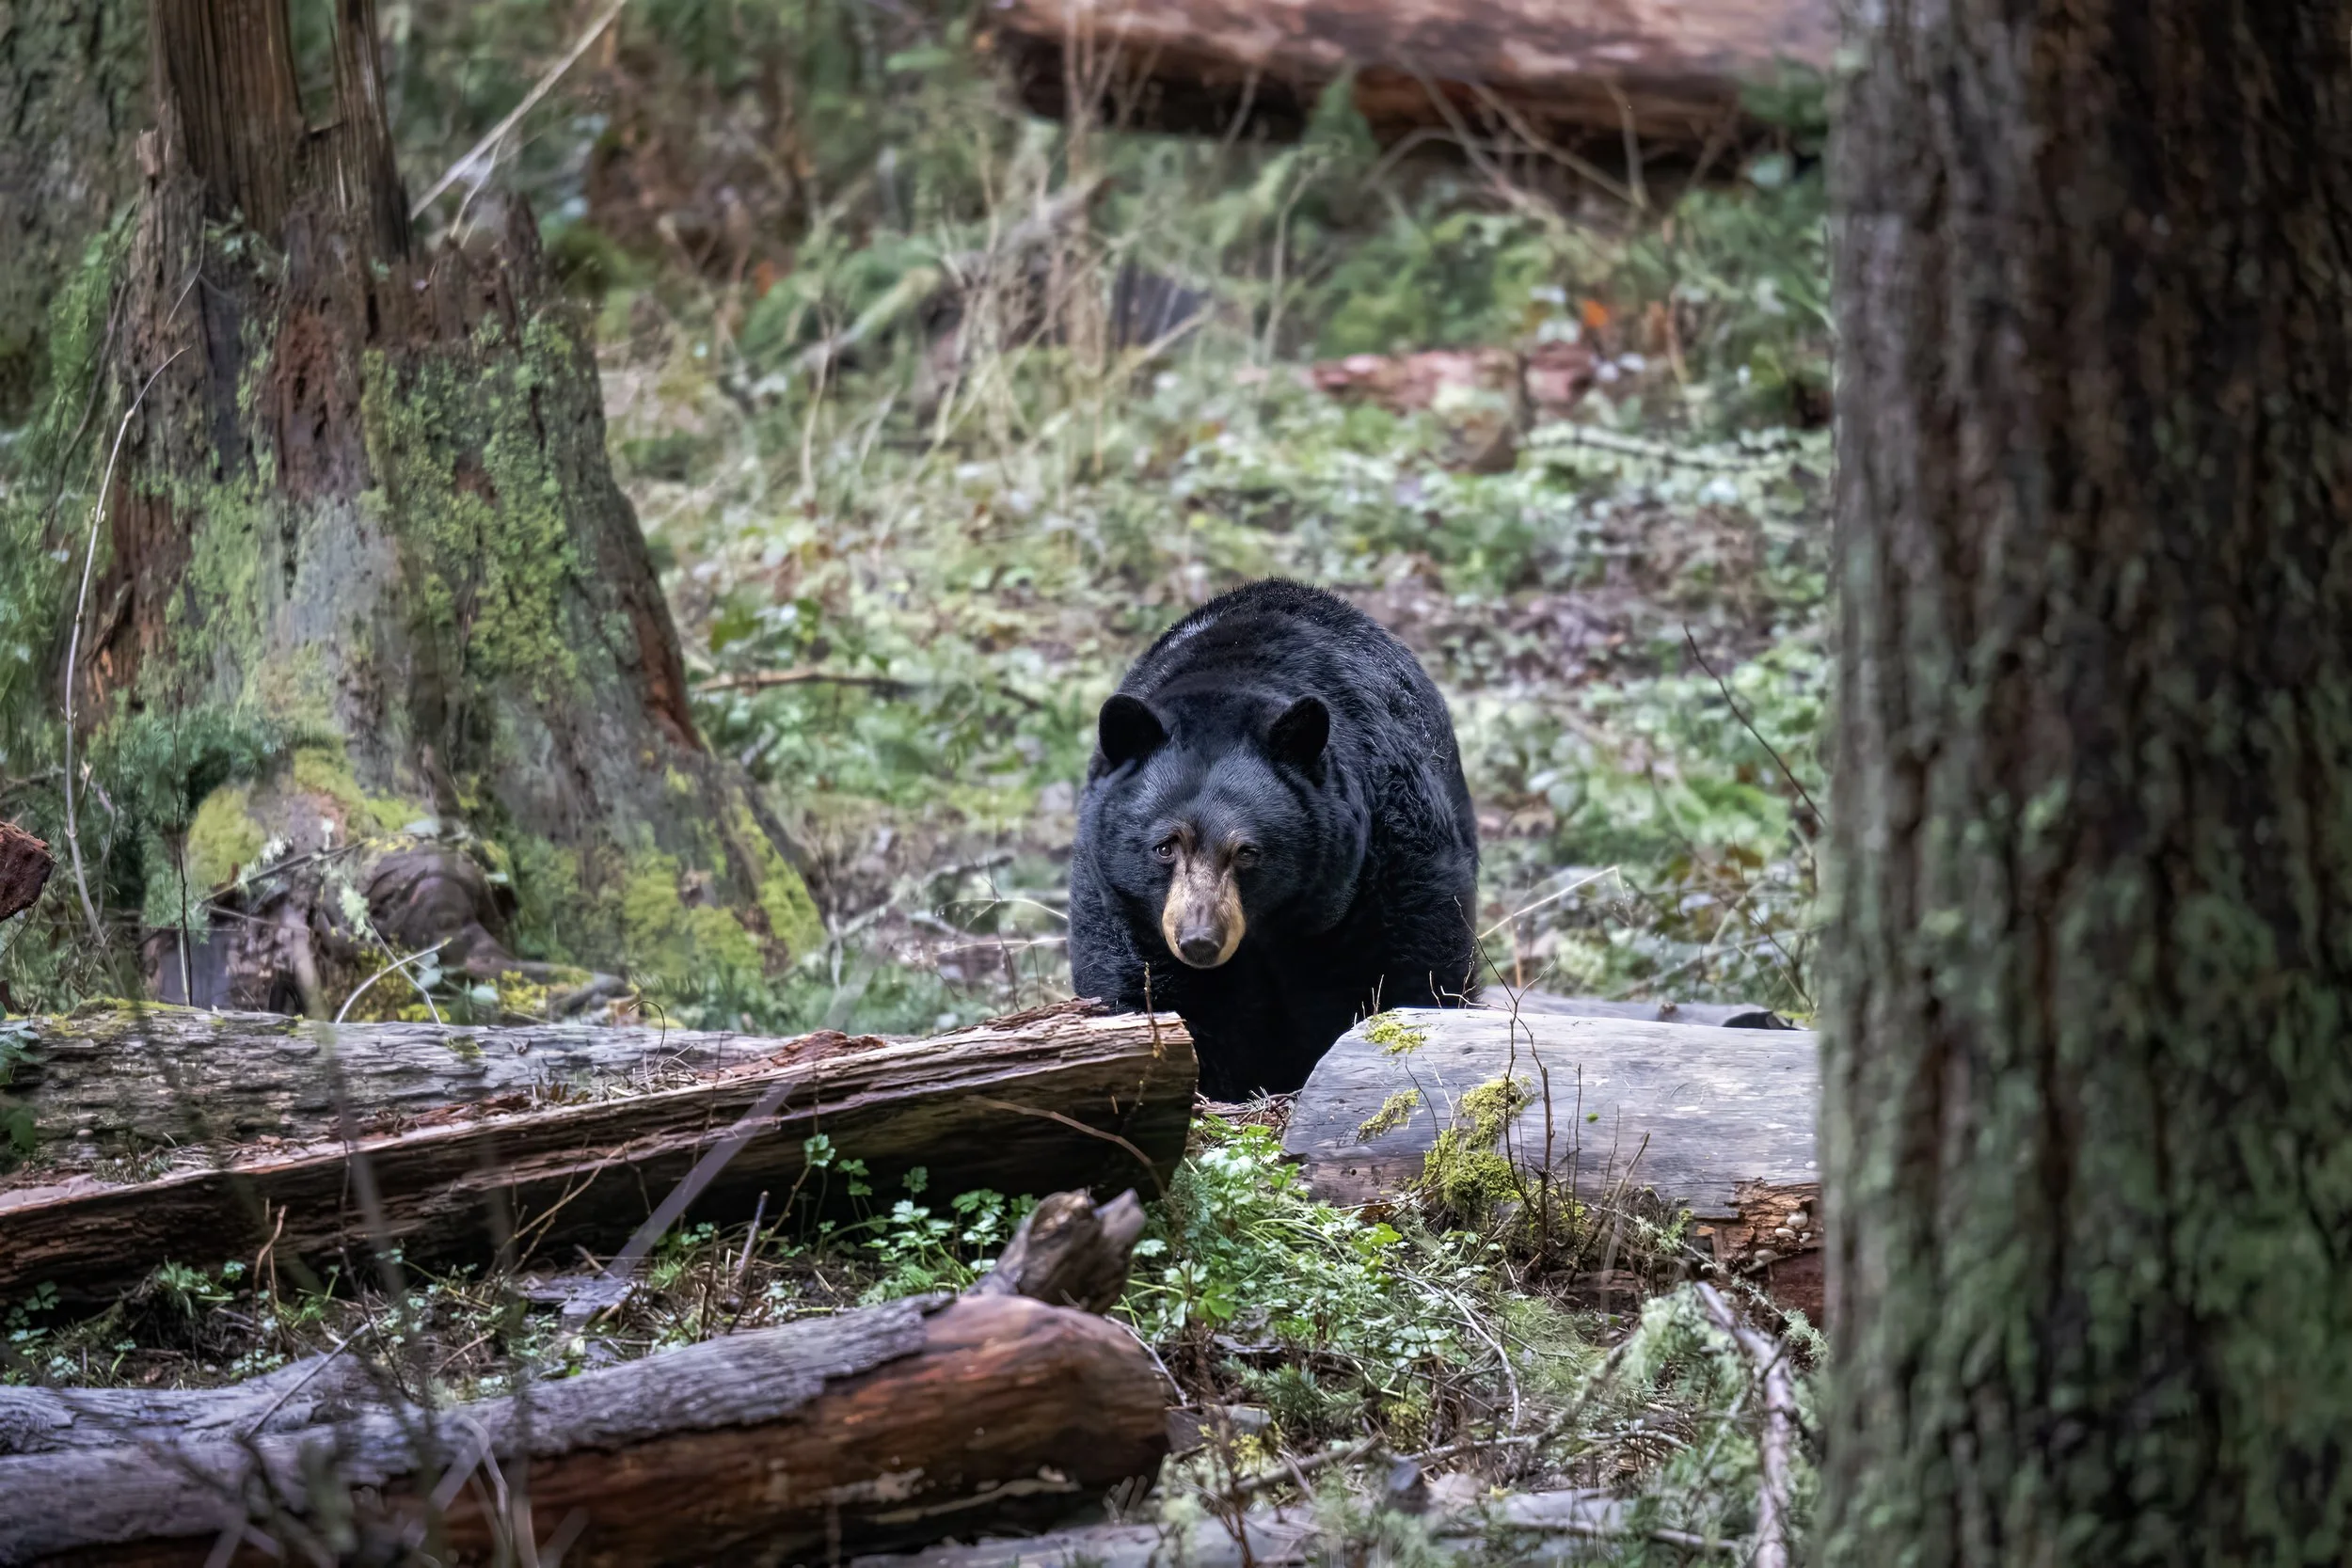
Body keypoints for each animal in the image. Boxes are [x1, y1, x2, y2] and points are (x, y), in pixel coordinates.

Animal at [1067, 578, 1481, 1100]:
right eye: (1165, 846)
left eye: (1247, 852)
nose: (1199, 941)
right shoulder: (1121, 902)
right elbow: (1144, 991)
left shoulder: (1391, 857)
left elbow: (1412, 967)